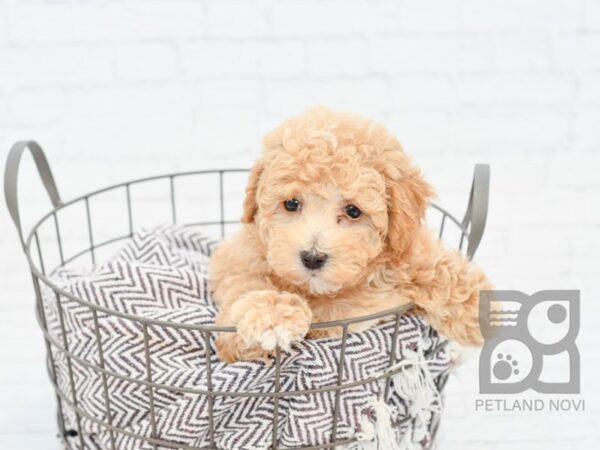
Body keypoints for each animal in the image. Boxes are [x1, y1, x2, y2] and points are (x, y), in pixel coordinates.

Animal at [211, 106, 492, 362]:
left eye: (353, 211)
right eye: (291, 204)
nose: (312, 257)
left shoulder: (408, 247)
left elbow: (438, 266)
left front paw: (482, 309)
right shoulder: (241, 257)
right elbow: (247, 286)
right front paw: (271, 315)